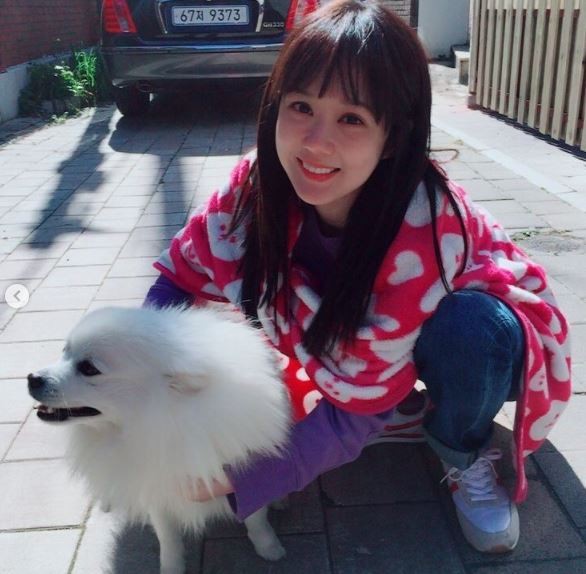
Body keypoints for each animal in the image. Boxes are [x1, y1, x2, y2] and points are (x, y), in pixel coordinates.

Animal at [27, 305, 291, 574]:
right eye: (64, 353)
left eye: (89, 368)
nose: (32, 378)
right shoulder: (157, 489)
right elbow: (167, 537)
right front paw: (171, 566)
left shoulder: (241, 471)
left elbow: (256, 518)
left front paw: (269, 547)